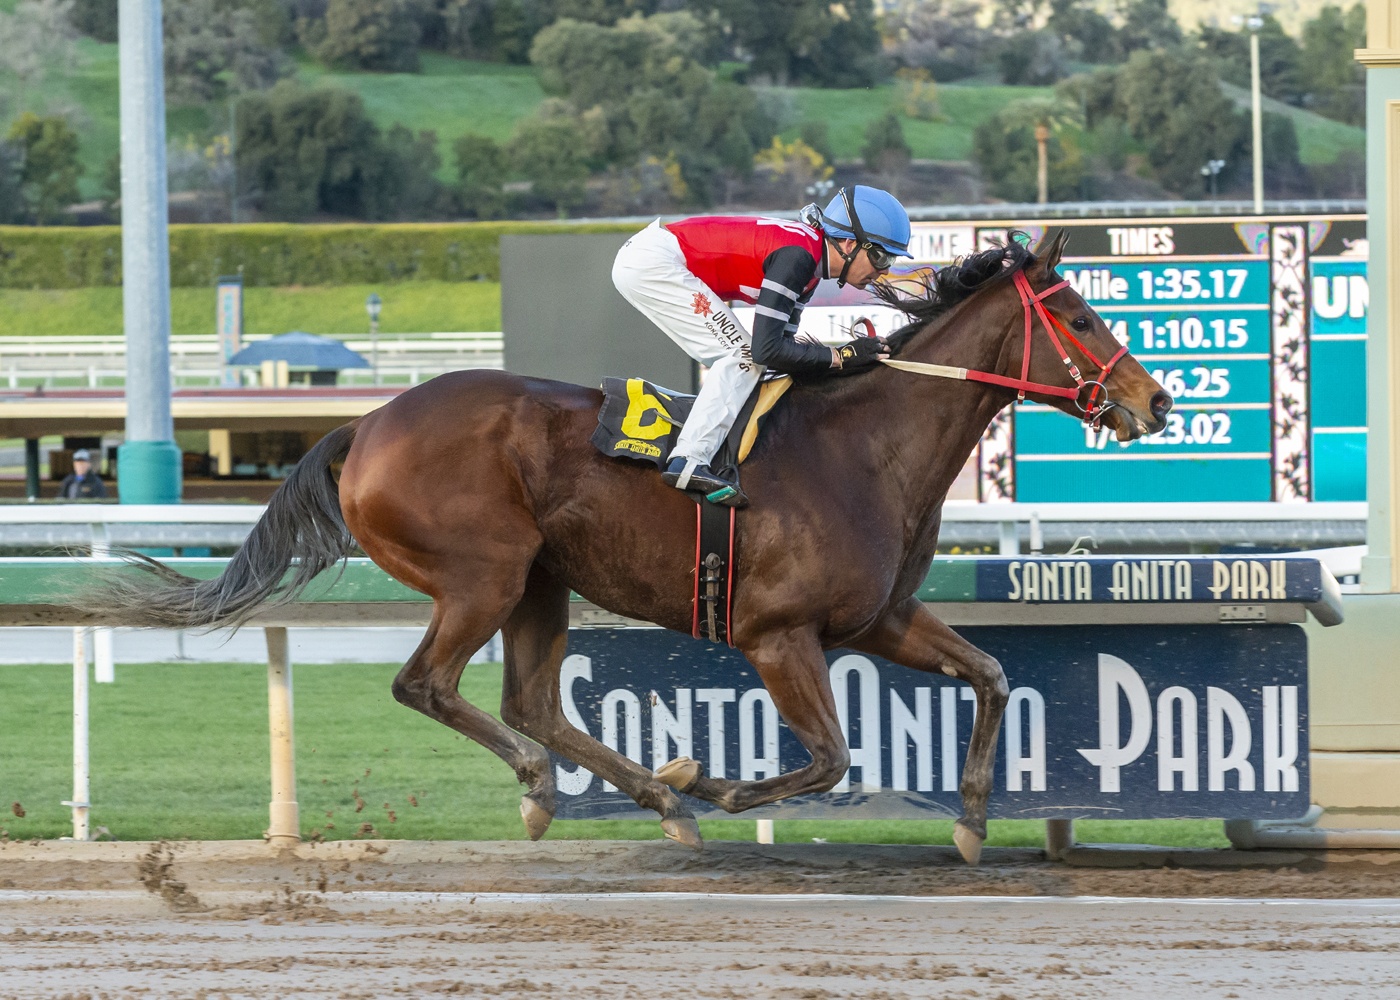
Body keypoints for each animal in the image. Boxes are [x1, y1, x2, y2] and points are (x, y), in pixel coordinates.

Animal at [87, 229, 1170, 862]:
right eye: (1079, 316)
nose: (1154, 401)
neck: (864, 446)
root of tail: (369, 422)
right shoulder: (778, 635)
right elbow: (827, 757)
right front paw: (726, 783)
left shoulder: (882, 618)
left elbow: (988, 674)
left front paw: (974, 816)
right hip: (482, 576)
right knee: (428, 685)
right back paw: (571, 787)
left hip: (539, 582)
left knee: (528, 701)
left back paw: (649, 795)